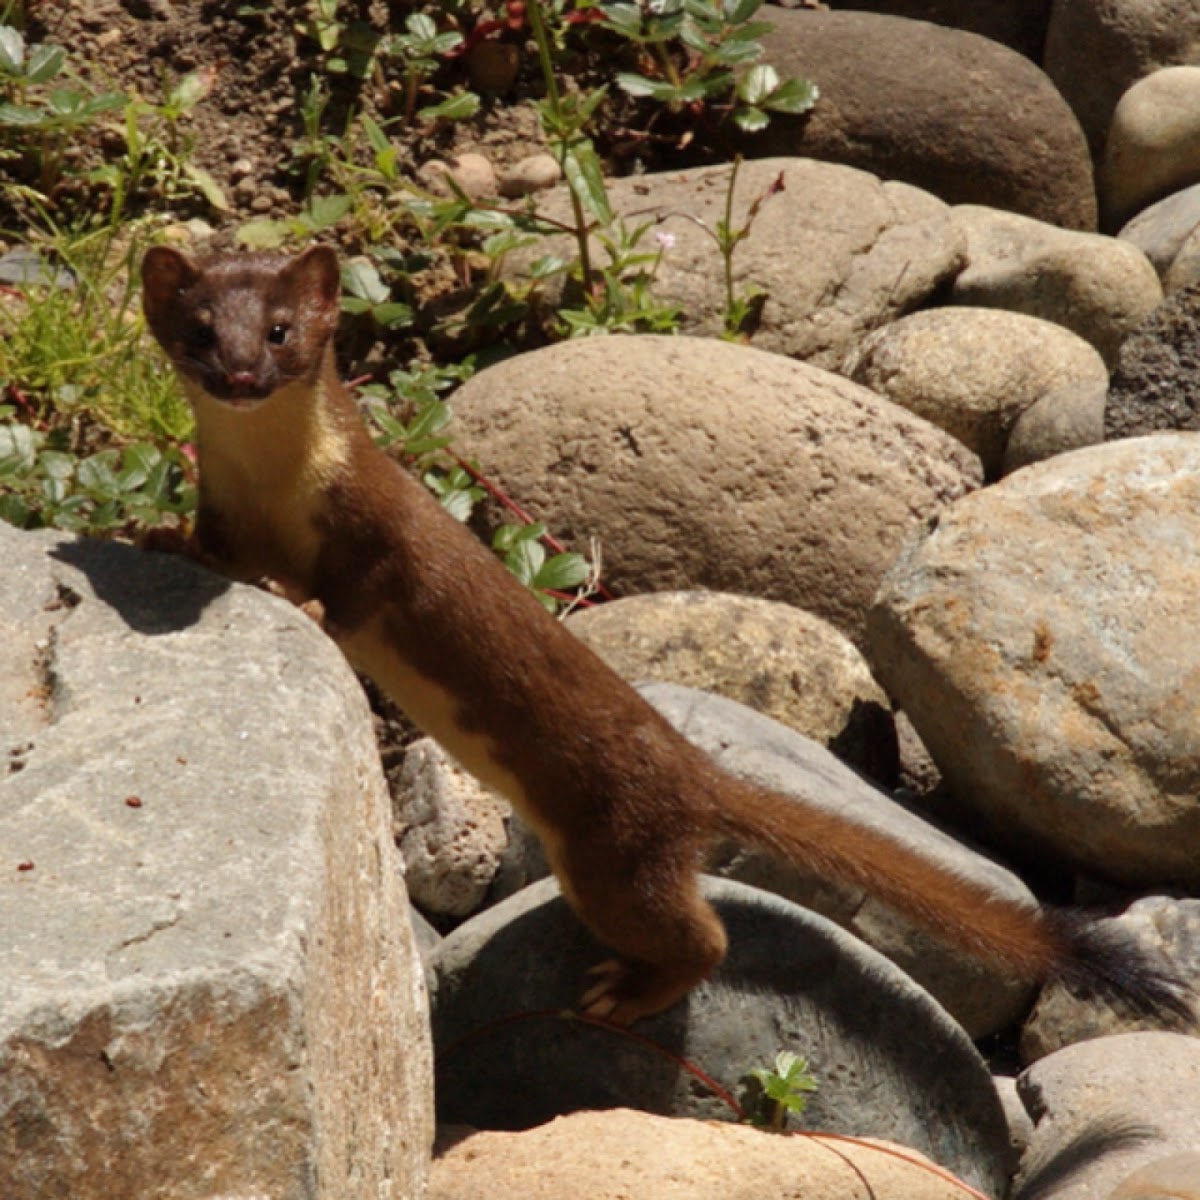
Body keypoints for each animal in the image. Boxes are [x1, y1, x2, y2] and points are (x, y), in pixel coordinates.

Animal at [140, 241, 1190, 1022]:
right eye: (200, 330)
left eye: (281, 330)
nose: (239, 372)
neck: (276, 491)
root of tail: (694, 775)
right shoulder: (224, 507)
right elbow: (209, 548)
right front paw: (156, 539)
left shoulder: (383, 532)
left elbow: (362, 594)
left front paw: (306, 604)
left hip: (612, 856)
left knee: (701, 936)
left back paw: (626, 991)